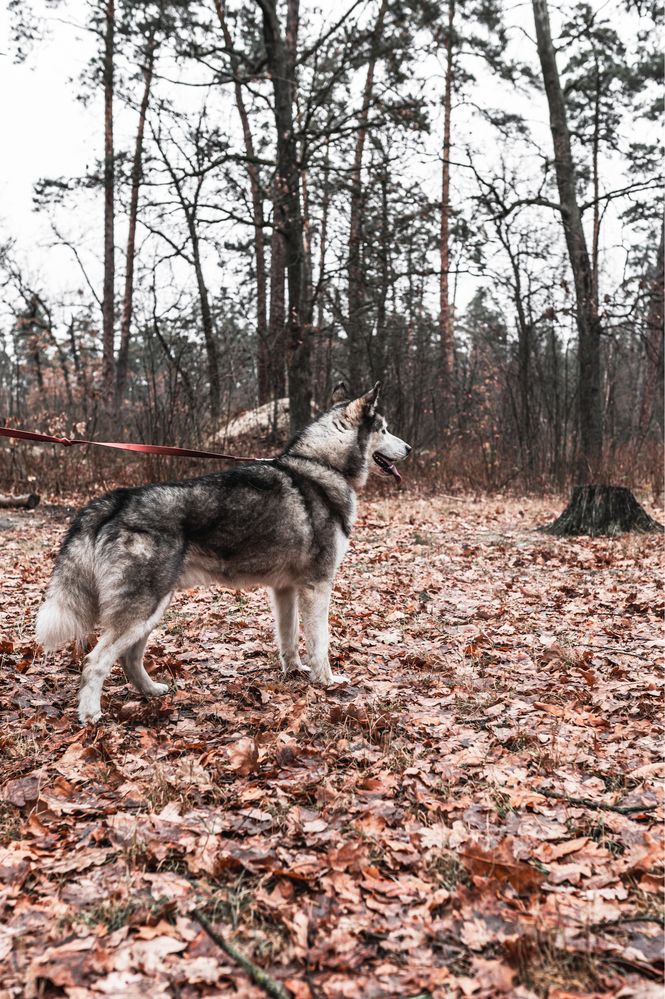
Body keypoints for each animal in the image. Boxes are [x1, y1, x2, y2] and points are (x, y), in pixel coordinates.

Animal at [37, 378, 410, 724]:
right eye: (385, 428)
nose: (408, 447)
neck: (323, 467)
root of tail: (115, 501)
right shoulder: (317, 586)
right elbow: (320, 642)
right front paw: (328, 681)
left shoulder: (285, 590)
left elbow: (288, 639)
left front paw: (294, 672)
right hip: (143, 610)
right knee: (95, 662)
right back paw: (90, 715)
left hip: (153, 611)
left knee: (129, 659)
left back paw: (152, 691)